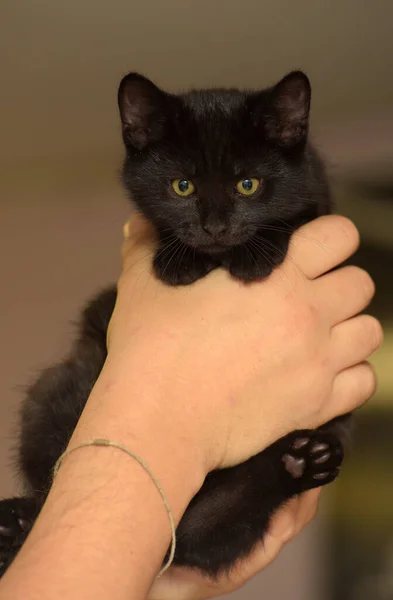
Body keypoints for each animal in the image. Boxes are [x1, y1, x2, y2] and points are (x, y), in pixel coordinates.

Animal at [0, 70, 350, 576]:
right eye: (182, 186)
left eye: (248, 185)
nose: (216, 228)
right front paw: (176, 261)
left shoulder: (318, 194)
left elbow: (300, 216)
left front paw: (257, 255)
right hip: (56, 388)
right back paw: (19, 522)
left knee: (203, 536)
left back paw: (300, 462)